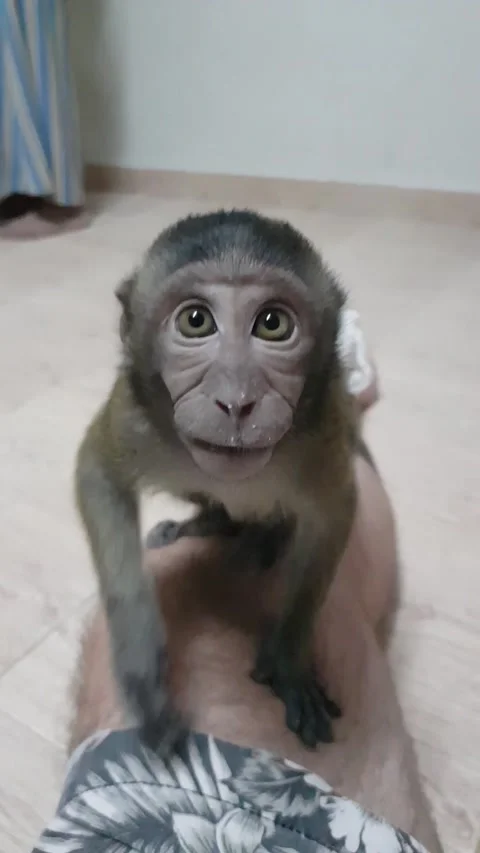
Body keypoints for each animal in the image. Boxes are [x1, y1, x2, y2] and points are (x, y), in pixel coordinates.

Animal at [74, 209, 359, 752]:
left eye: (272, 324)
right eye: (196, 321)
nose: (237, 400)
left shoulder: (321, 430)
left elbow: (334, 513)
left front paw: (289, 662)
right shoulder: (136, 416)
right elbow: (98, 477)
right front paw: (142, 663)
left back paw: (262, 537)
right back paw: (206, 525)